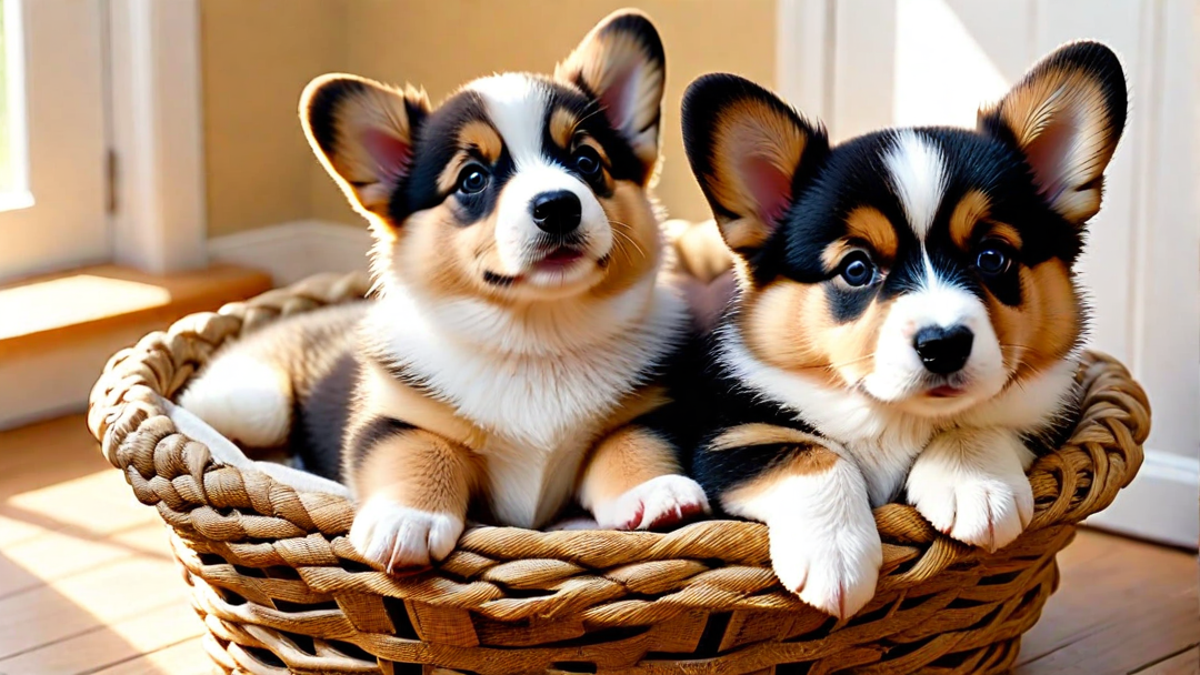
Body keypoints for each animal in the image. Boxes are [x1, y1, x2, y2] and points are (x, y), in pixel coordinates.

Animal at [177, 9, 705, 566]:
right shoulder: (396, 419)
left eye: (587, 162)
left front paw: (657, 491)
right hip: (254, 400)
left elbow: (631, 444)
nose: (559, 205)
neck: (538, 338)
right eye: (472, 178)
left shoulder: (646, 411)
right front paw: (407, 520)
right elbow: (419, 452)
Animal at [676, 42, 1123, 619]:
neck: (895, 416)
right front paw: (835, 555)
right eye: (856, 268)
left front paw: (974, 486)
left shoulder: (1049, 414)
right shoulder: (731, 435)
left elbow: (981, 418)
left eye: (992, 256)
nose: (944, 346)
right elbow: (808, 451)